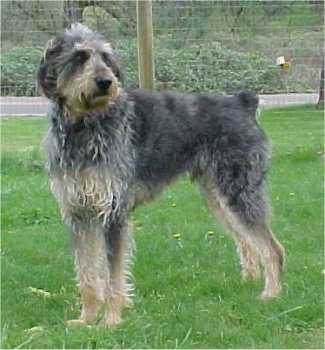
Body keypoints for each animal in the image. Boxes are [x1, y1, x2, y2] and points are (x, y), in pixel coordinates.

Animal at [36, 23, 284, 326]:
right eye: (79, 57)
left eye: (105, 57)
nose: (106, 82)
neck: (83, 127)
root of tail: (242, 102)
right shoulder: (78, 213)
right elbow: (87, 273)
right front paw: (86, 319)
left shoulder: (113, 212)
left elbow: (113, 276)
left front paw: (111, 321)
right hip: (219, 197)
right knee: (247, 241)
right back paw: (249, 281)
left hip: (240, 191)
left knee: (273, 248)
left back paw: (271, 293)